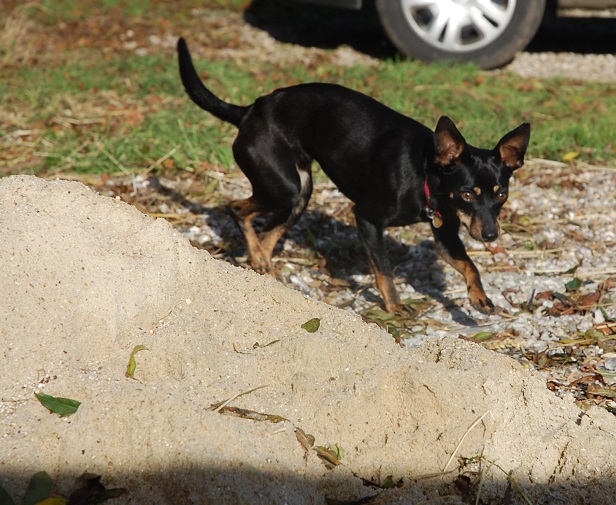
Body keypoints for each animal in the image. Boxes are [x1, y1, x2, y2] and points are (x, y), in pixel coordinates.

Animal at [177, 38, 528, 316]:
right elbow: (384, 269)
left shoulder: (446, 236)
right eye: (467, 194)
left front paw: (479, 297)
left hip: (300, 193)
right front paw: (394, 306)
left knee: (267, 235)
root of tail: (249, 110)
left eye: (501, 195)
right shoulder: (367, 218)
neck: (427, 173)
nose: (491, 235)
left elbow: (470, 264)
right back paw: (257, 257)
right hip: (283, 188)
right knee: (237, 208)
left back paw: (264, 269)